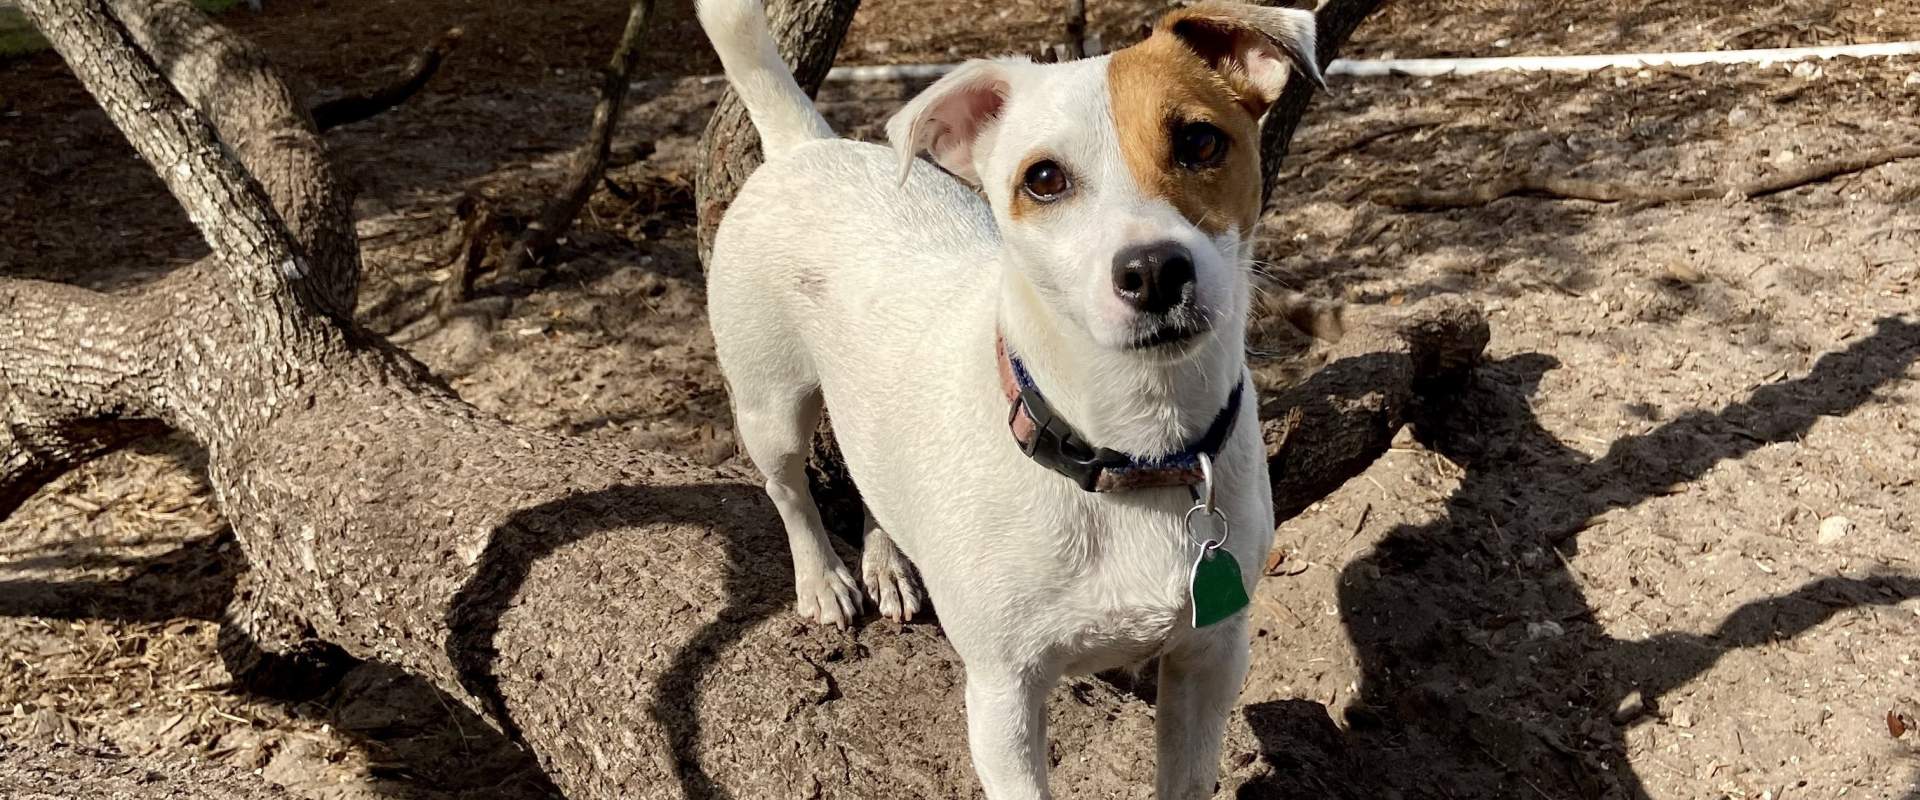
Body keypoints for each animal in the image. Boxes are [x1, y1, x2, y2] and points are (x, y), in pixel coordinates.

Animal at [695, 3, 1320, 794]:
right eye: (1044, 179)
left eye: (1202, 141)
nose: (1153, 270)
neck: (1132, 452)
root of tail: (807, 144)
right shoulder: (1004, 694)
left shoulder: (1207, 662)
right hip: (769, 405)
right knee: (788, 490)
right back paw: (824, 579)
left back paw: (888, 562)